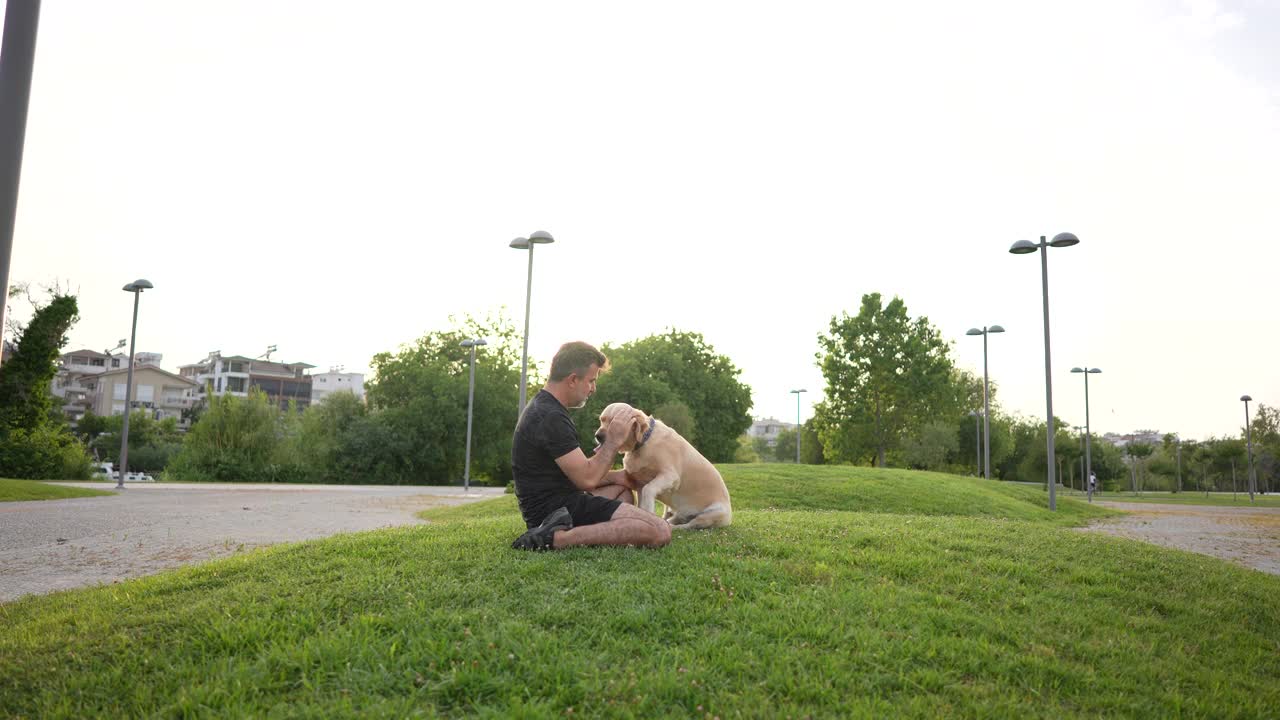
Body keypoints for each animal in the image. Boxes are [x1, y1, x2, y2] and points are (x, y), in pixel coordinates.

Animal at [591, 397, 732, 527]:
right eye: (601, 420)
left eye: (615, 423)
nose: (598, 436)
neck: (643, 442)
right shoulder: (637, 482)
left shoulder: (671, 476)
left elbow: (648, 490)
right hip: (679, 513)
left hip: (712, 514)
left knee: (689, 525)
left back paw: (673, 527)